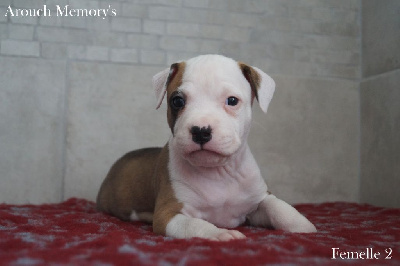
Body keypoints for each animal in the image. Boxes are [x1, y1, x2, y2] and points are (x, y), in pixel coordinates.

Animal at [96, 54, 316, 241]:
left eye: (232, 100)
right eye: (177, 101)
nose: (201, 131)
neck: (218, 172)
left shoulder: (257, 200)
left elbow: (280, 208)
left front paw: (304, 226)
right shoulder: (168, 214)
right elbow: (193, 224)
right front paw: (219, 233)